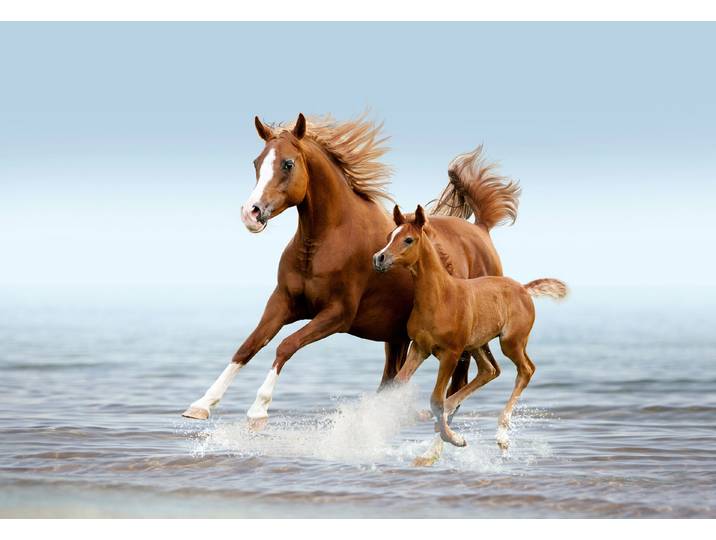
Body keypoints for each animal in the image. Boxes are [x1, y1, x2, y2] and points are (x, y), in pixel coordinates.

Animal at [182, 113, 521, 427]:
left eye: (288, 164)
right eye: (257, 162)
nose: (250, 213)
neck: (325, 242)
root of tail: (481, 230)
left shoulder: (337, 314)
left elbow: (285, 346)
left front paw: (258, 409)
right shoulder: (283, 303)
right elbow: (249, 346)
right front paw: (202, 404)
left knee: (460, 379)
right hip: (396, 337)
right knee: (393, 379)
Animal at [374, 204, 567, 455]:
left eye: (408, 239)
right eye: (390, 236)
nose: (379, 258)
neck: (440, 297)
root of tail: (524, 289)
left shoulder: (451, 353)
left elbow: (435, 399)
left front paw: (455, 438)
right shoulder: (419, 348)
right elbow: (399, 382)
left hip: (510, 342)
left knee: (526, 370)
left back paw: (501, 434)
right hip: (477, 344)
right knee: (489, 370)